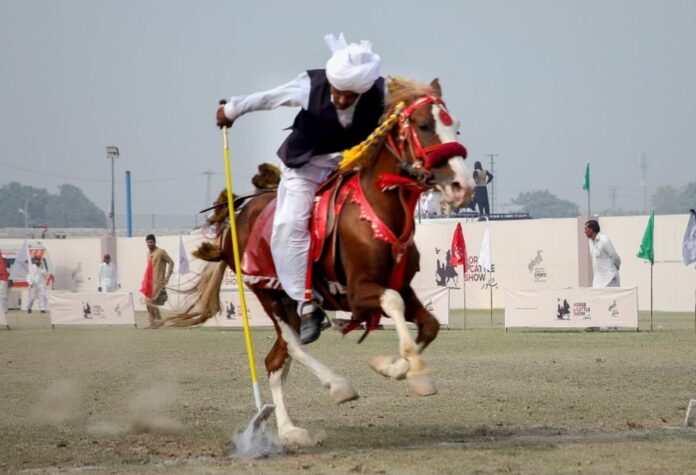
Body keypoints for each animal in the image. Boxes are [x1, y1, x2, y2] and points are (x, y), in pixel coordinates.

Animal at [166, 77, 476, 446]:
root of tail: (234, 218)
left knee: (275, 360)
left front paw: (395, 367)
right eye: (425, 125)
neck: (375, 209)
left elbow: (428, 324)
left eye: (456, 126)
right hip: (267, 294)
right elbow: (393, 303)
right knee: (292, 347)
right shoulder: (359, 292)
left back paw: (289, 430)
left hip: (289, 304)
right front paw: (410, 369)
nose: (463, 186)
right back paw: (337, 387)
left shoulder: (403, 285)